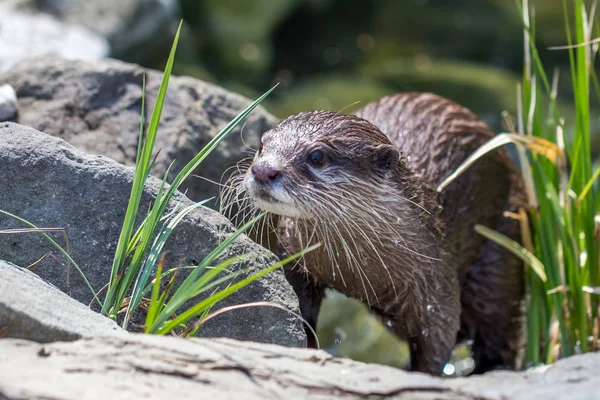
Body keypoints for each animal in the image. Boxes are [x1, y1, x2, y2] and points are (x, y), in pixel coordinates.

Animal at [232, 93, 524, 376]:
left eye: (317, 156)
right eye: (262, 145)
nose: (263, 170)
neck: (357, 272)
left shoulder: (436, 289)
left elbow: (437, 347)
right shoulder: (294, 259)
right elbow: (302, 310)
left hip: (500, 256)